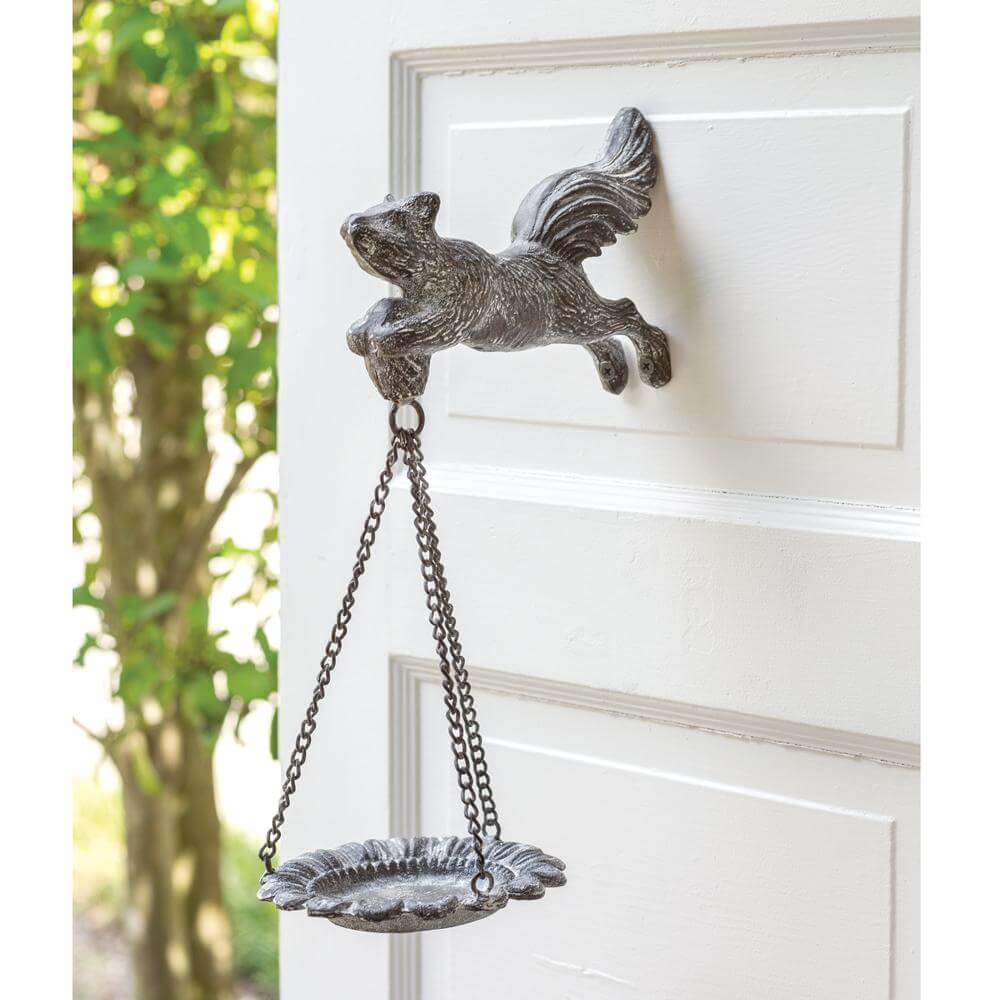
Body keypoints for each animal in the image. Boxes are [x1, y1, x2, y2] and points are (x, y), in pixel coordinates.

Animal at [341, 107, 671, 398]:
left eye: (395, 218)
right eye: (372, 209)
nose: (351, 224)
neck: (430, 272)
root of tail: (551, 253)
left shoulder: (454, 315)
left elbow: (407, 331)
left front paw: (378, 340)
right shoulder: (414, 301)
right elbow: (384, 306)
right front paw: (359, 333)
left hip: (579, 317)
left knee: (626, 310)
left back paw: (654, 365)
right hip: (566, 329)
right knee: (605, 338)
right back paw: (613, 373)